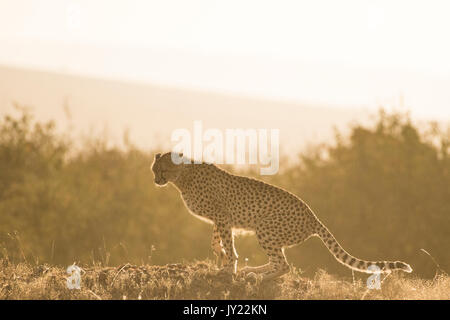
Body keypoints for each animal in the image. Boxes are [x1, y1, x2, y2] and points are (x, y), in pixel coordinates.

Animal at [151, 152, 412, 280]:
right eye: (154, 169)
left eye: (162, 169)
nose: (155, 180)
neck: (182, 176)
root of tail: (313, 216)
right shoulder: (221, 219)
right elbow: (217, 241)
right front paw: (223, 256)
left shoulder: (223, 218)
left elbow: (228, 244)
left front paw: (228, 268)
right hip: (271, 234)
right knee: (279, 260)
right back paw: (254, 271)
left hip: (265, 228)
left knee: (284, 265)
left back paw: (259, 278)